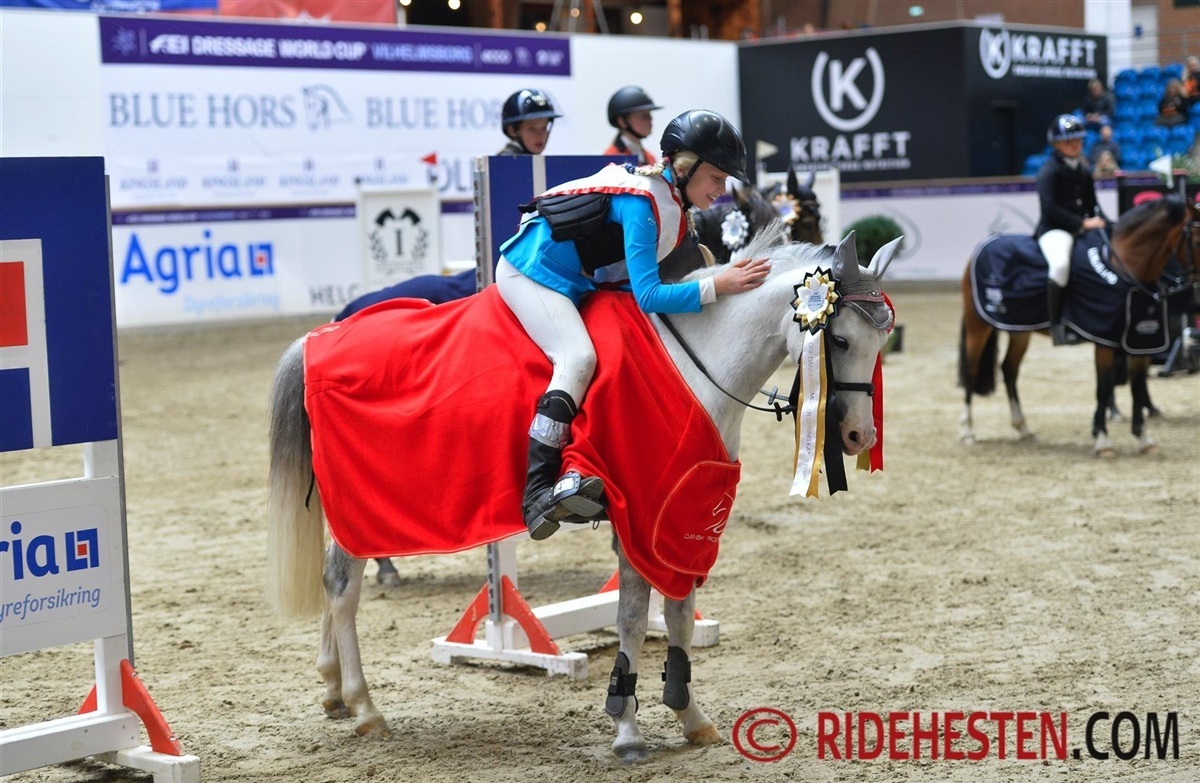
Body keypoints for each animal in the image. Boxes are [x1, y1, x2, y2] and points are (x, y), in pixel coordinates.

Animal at [265, 224, 899, 761]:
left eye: (881, 341)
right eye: (840, 339)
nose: (858, 436)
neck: (690, 365)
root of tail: (320, 338)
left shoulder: (682, 514)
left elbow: (679, 613)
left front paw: (690, 717)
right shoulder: (645, 511)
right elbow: (632, 616)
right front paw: (627, 729)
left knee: (332, 580)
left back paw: (333, 691)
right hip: (366, 508)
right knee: (342, 587)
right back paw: (365, 706)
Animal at [958, 194, 1198, 455]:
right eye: (1197, 237)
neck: (1123, 268)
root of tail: (985, 244)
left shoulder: (1138, 342)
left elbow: (1136, 386)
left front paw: (1143, 439)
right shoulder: (1104, 341)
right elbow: (1103, 387)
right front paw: (1103, 441)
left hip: (1019, 331)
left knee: (1009, 370)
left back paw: (1023, 428)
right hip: (978, 324)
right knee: (971, 370)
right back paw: (968, 431)